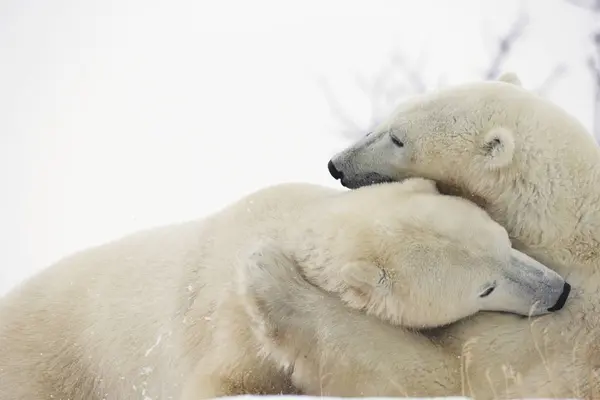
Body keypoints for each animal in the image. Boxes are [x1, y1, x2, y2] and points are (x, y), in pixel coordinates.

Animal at [250, 73, 600, 398]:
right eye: (389, 116)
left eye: (397, 138)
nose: (336, 165)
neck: (566, 232)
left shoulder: (554, 337)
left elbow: (435, 373)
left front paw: (271, 275)